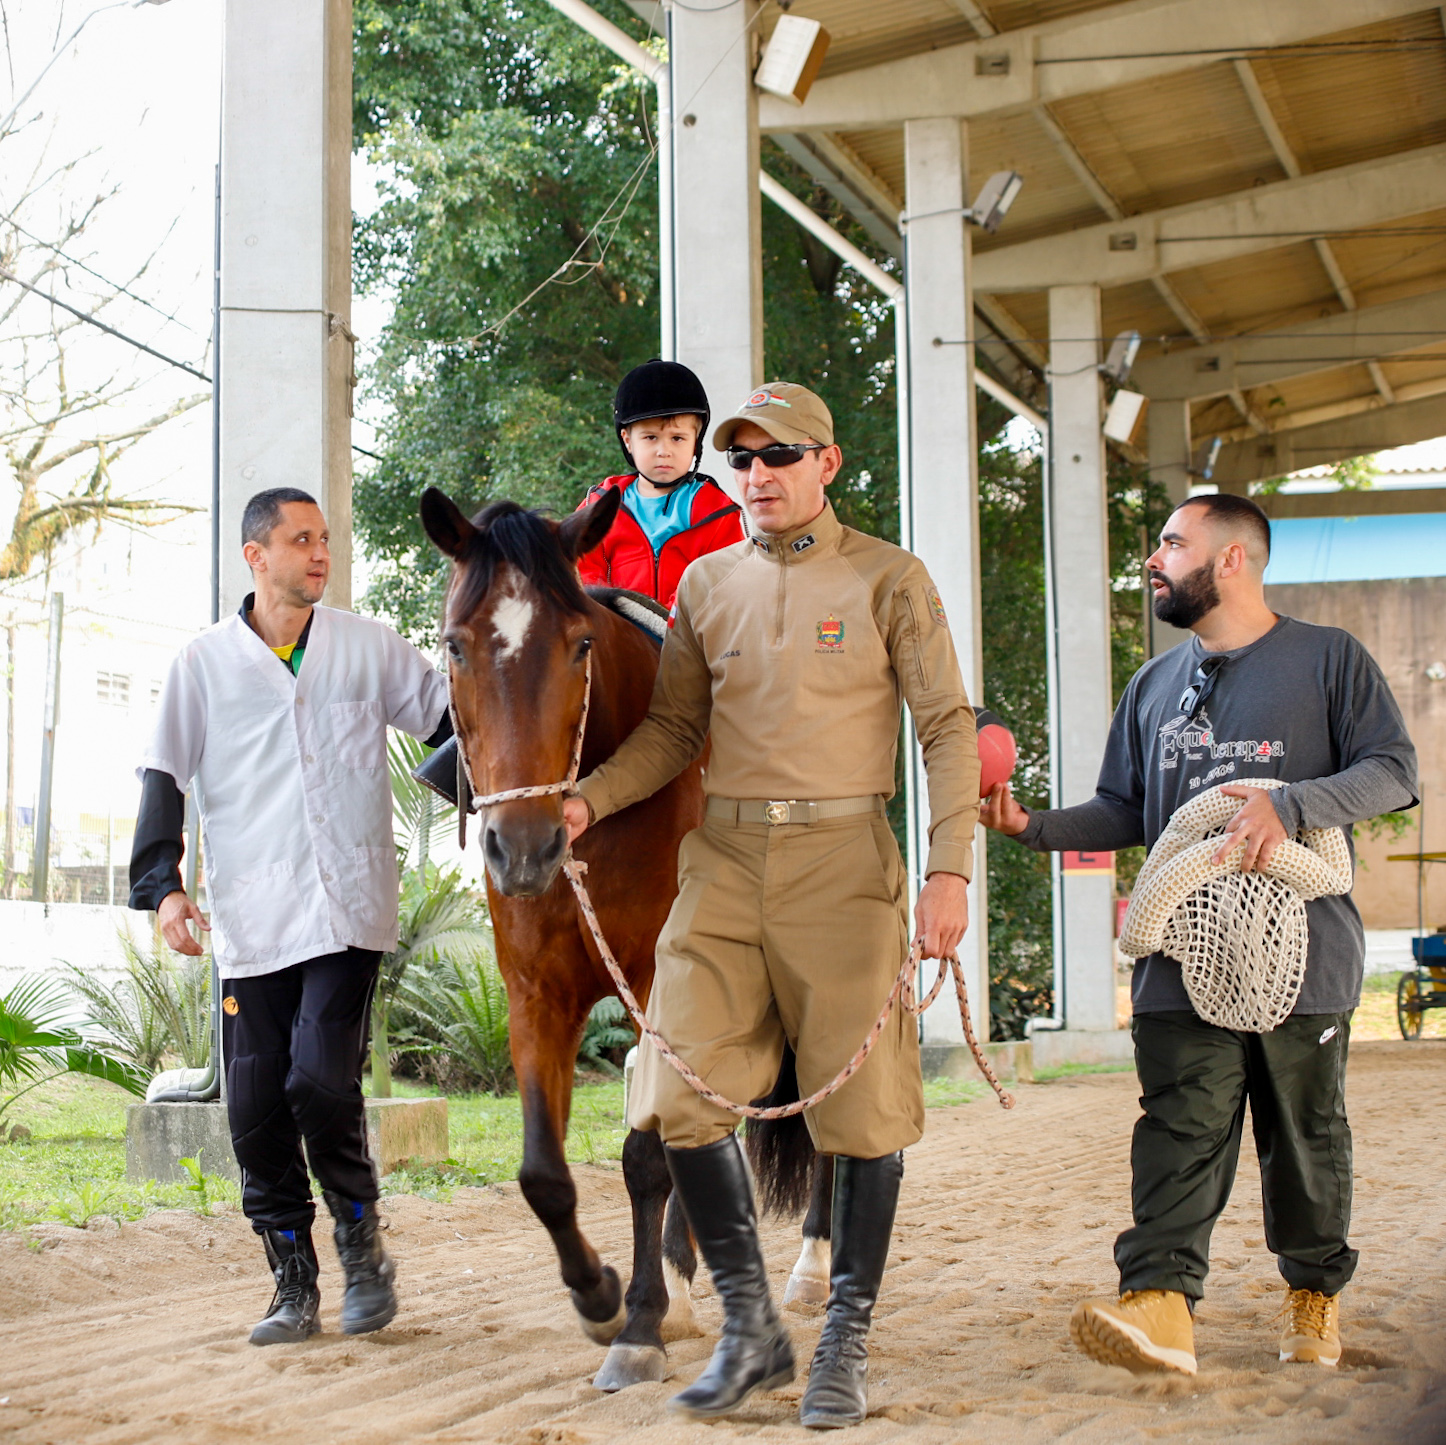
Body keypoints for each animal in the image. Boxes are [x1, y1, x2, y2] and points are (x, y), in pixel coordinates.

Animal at [419, 491, 832, 1394]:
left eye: (579, 643)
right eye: (454, 643)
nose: (524, 846)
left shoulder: (658, 988)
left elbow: (646, 1158)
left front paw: (639, 1321)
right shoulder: (538, 992)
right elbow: (543, 1171)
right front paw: (601, 1294)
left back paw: (812, 1264)